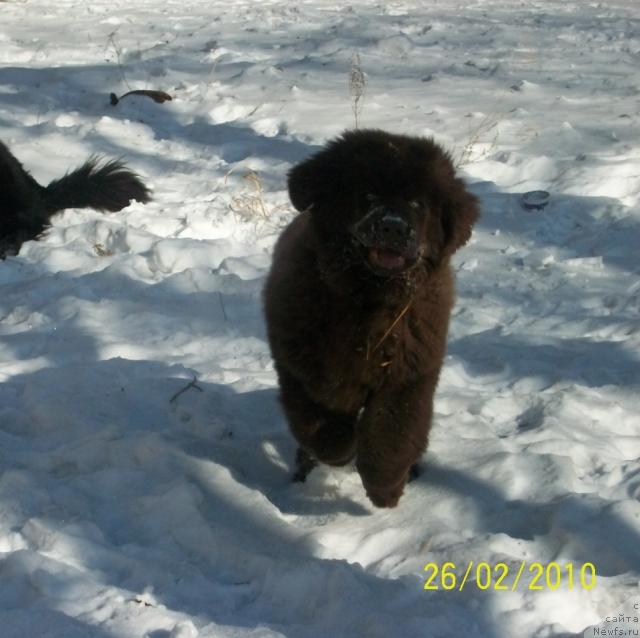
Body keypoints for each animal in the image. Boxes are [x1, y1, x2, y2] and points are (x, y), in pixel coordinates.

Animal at [262, 130, 478, 510]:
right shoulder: (302, 372)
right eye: (367, 195)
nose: (392, 227)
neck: (370, 303)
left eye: (418, 203)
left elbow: (391, 436)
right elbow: (321, 427)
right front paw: (340, 454)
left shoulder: (407, 377)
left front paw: (385, 490)